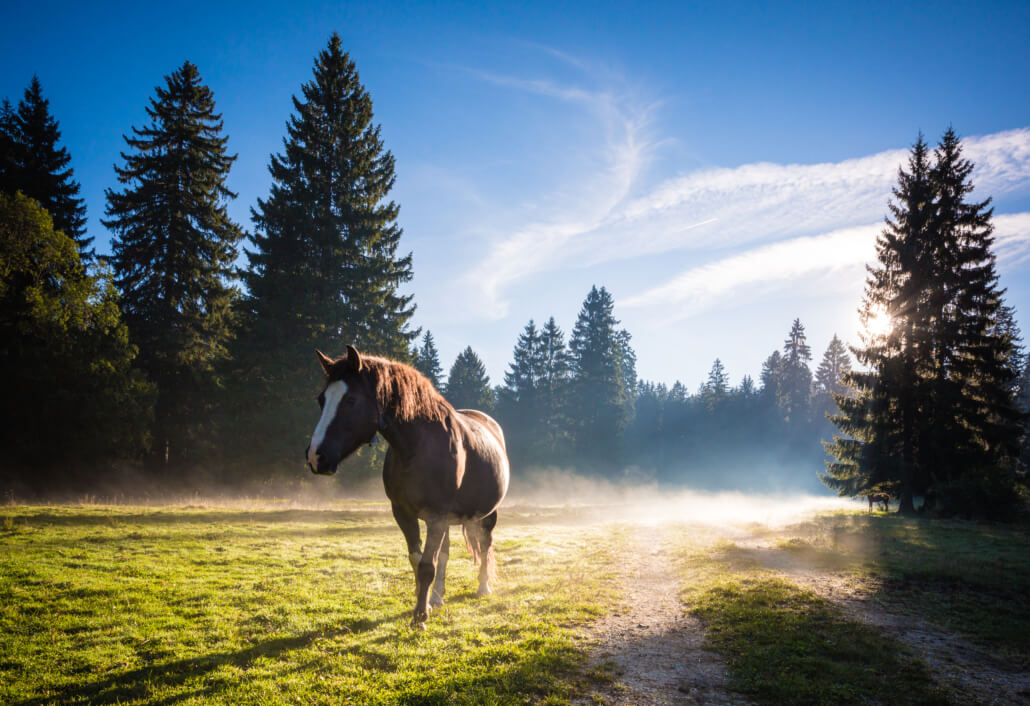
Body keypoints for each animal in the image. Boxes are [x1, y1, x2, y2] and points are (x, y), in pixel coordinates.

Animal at [305, 345, 510, 629]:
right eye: (321, 399)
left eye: (351, 400)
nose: (316, 456)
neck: (418, 448)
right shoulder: (403, 513)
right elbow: (418, 560)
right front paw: (423, 603)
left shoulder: (436, 516)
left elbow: (427, 565)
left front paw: (420, 617)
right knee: (445, 553)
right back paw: (437, 597)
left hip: (487, 514)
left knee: (485, 543)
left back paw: (483, 587)